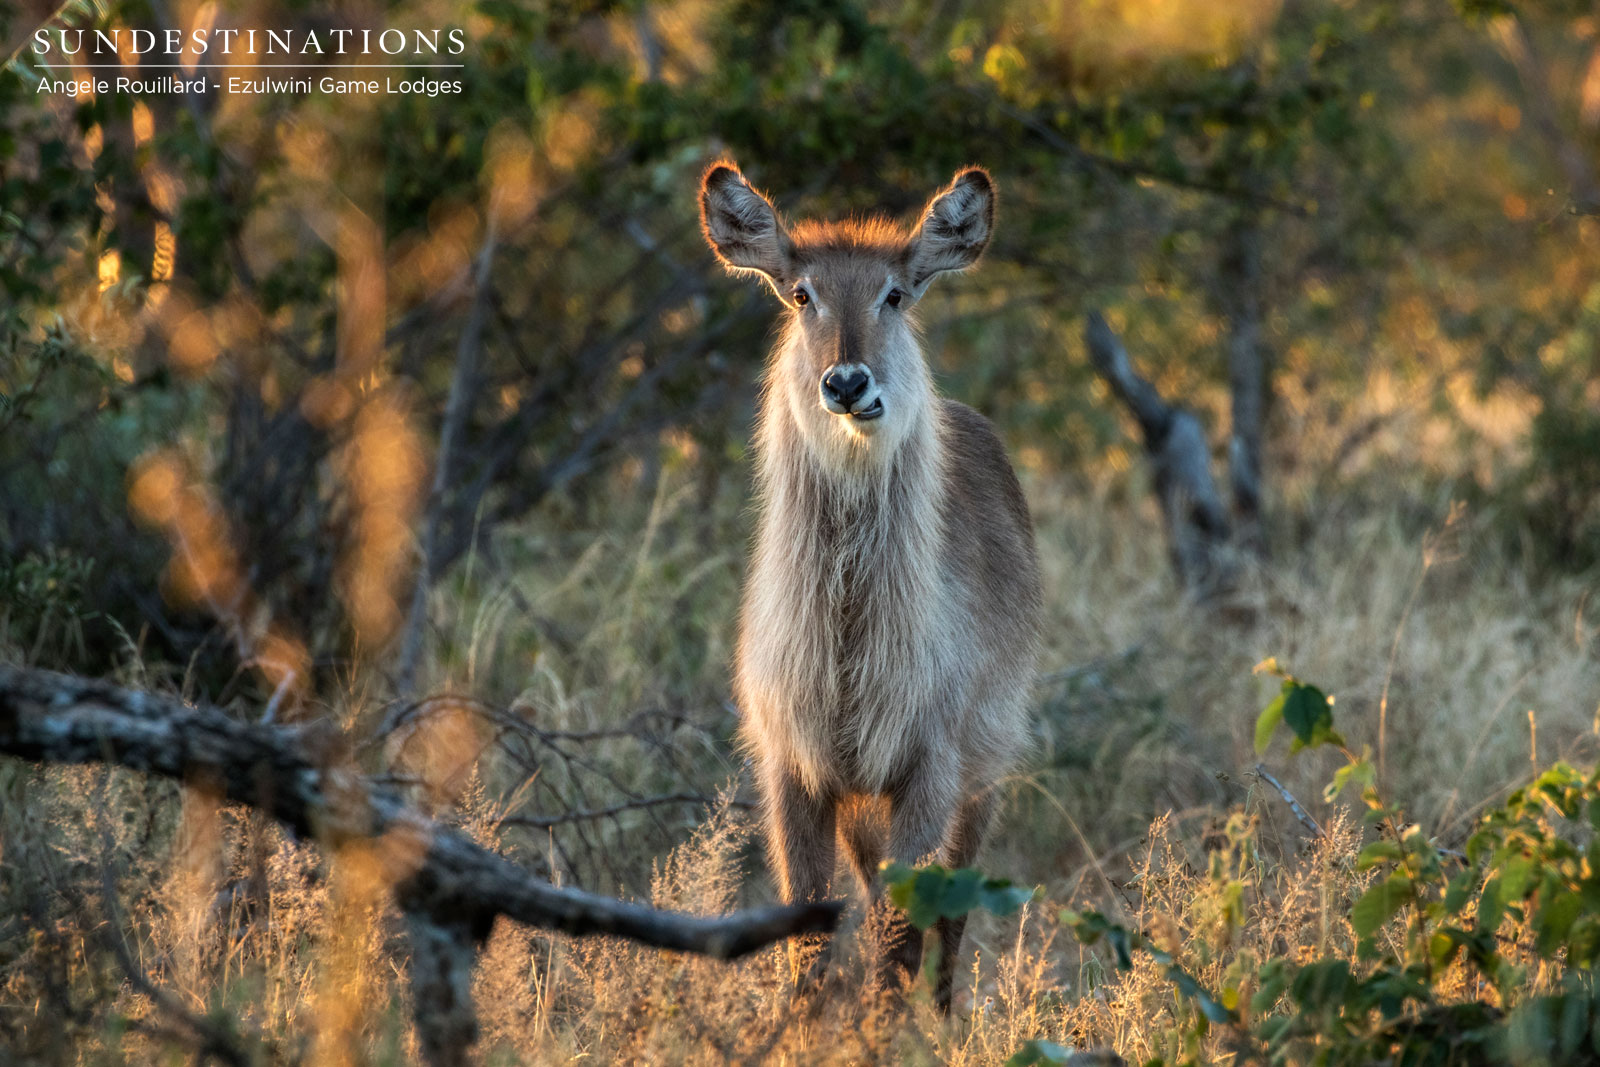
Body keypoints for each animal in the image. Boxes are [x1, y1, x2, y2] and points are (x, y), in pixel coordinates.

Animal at [699, 160, 1042, 1012]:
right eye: (801, 294)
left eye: (895, 294)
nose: (848, 381)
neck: (852, 637)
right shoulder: (796, 770)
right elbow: (809, 942)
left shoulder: (929, 768)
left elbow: (898, 943)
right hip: (863, 807)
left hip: (983, 771)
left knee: (947, 920)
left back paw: (946, 1019)